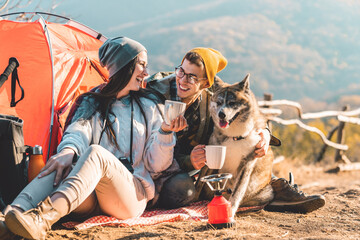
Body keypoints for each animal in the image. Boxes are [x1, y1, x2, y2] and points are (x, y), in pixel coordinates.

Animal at [195, 73, 274, 218]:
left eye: (232, 103)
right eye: (219, 103)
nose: (221, 114)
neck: (235, 136)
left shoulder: (247, 164)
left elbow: (237, 191)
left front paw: (230, 211)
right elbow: (197, 185)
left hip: (266, 193)